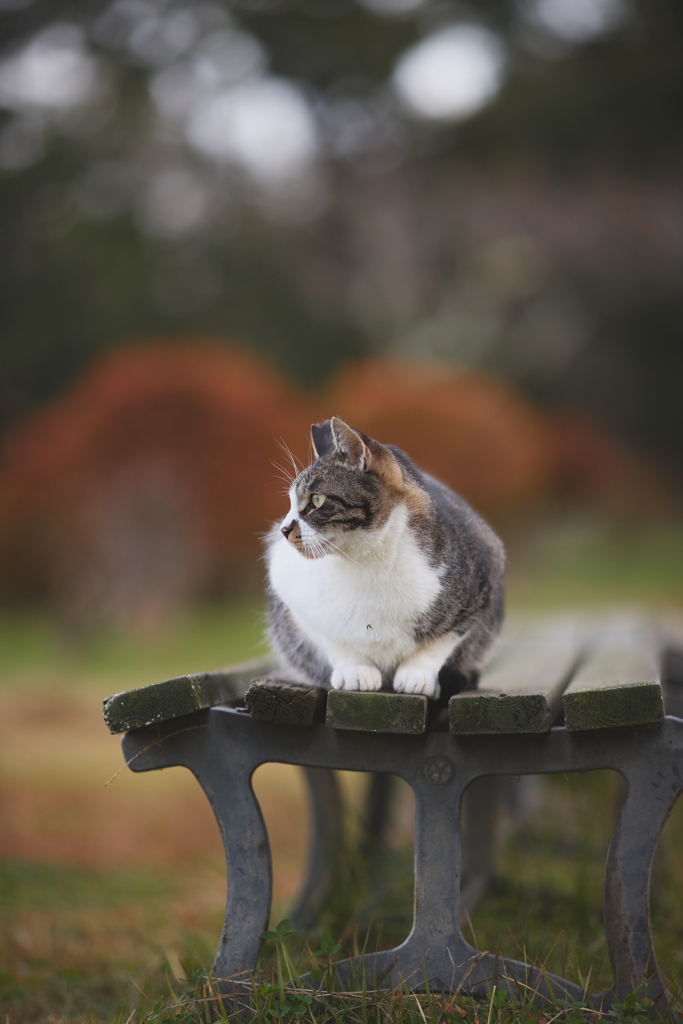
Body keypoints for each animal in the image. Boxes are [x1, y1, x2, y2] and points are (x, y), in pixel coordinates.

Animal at [264, 415, 505, 704]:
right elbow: (332, 639)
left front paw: (416, 674)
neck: (367, 561)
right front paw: (355, 669)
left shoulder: (483, 577)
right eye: (290, 501)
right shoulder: (290, 590)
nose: (283, 529)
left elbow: (440, 643)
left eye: (317, 499)